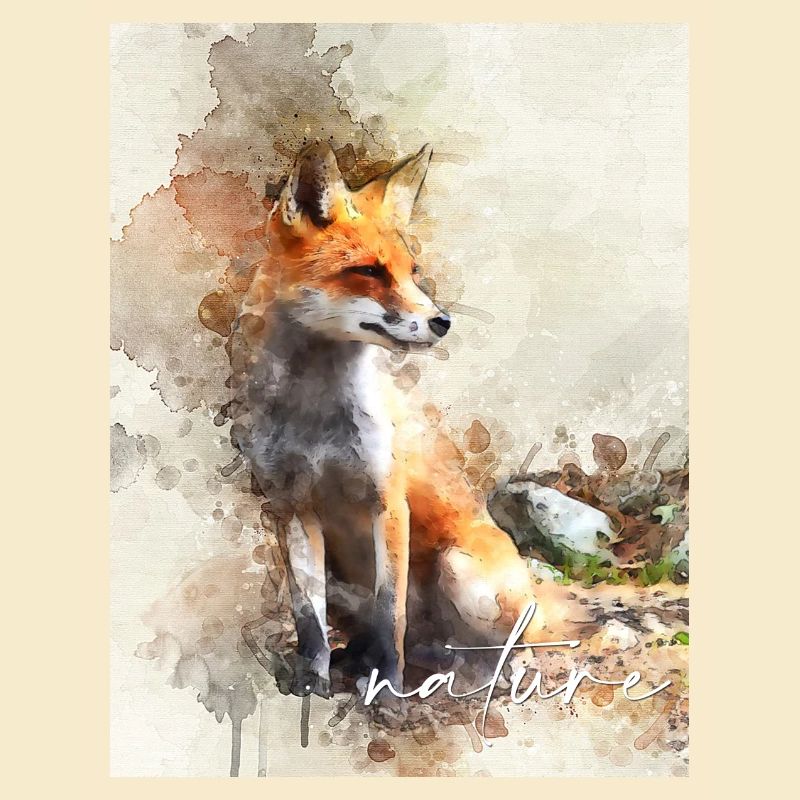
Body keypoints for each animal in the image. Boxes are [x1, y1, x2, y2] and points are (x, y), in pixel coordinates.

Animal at [226, 141, 577, 701]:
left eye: (413, 271)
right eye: (369, 271)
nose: (443, 321)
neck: (315, 419)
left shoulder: (387, 502)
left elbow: (391, 614)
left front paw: (387, 687)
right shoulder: (291, 508)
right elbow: (308, 617)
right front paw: (312, 681)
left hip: (463, 572)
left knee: (512, 643)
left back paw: (492, 677)